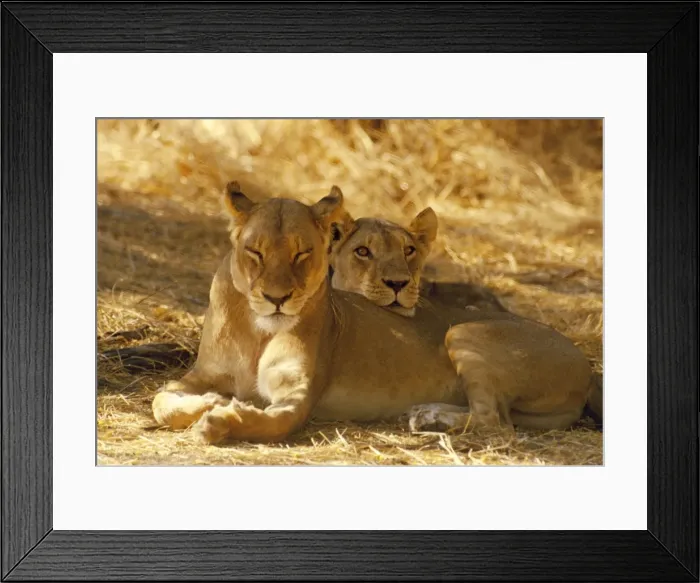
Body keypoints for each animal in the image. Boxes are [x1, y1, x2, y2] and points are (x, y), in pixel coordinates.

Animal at [328, 208, 603, 428]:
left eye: (409, 250)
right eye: (362, 251)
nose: (398, 283)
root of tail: (589, 373)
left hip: (462, 331)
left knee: (493, 420)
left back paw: (429, 420)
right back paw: (422, 410)